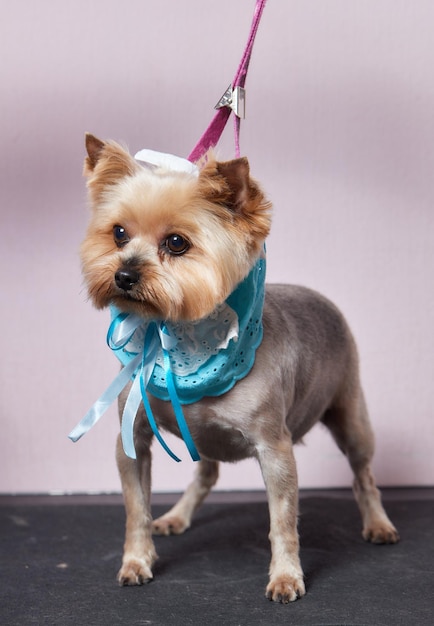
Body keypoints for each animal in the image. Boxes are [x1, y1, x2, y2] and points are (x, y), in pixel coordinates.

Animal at [79, 134, 398, 604]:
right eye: (119, 233)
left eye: (177, 243)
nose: (123, 275)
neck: (182, 344)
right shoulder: (133, 441)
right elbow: (136, 509)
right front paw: (136, 561)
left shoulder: (275, 450)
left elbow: (282, 522)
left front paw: (286, 576)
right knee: (206, 475)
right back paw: (177, 516)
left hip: (351, 417)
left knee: (364, 475)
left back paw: (378, 523)